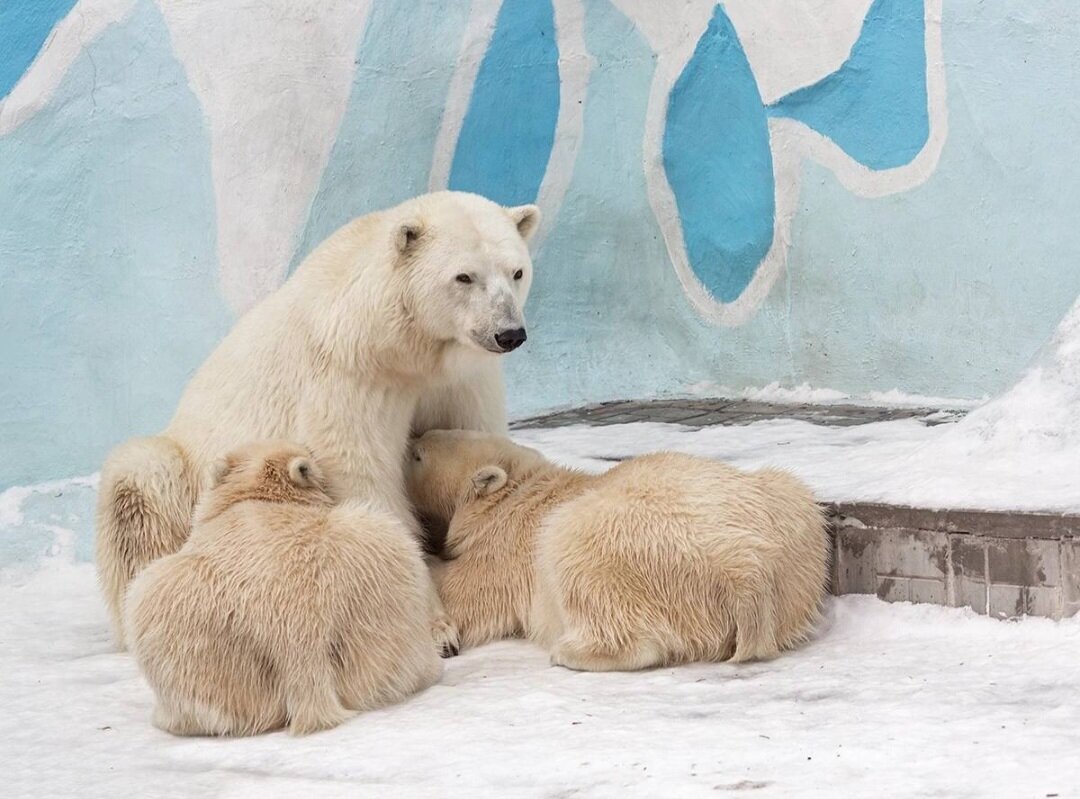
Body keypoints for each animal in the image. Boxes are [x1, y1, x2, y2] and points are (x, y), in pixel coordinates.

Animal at [97, 192, 540, 647]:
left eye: (517, 271)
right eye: (463, 276)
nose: (509, 334)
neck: (403, 348)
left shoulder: (463, 380)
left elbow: (475, 443)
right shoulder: (351, 375)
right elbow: (362, 474)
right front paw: (435, 627)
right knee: (140, 482)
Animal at [406, 429, 825, 669]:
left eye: (418, 454)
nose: (410, 439)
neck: (520, 490)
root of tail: (744, 568)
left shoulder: (504, 546)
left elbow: (465, 593)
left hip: (625, 545)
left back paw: (570, 652)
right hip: (793, 532)